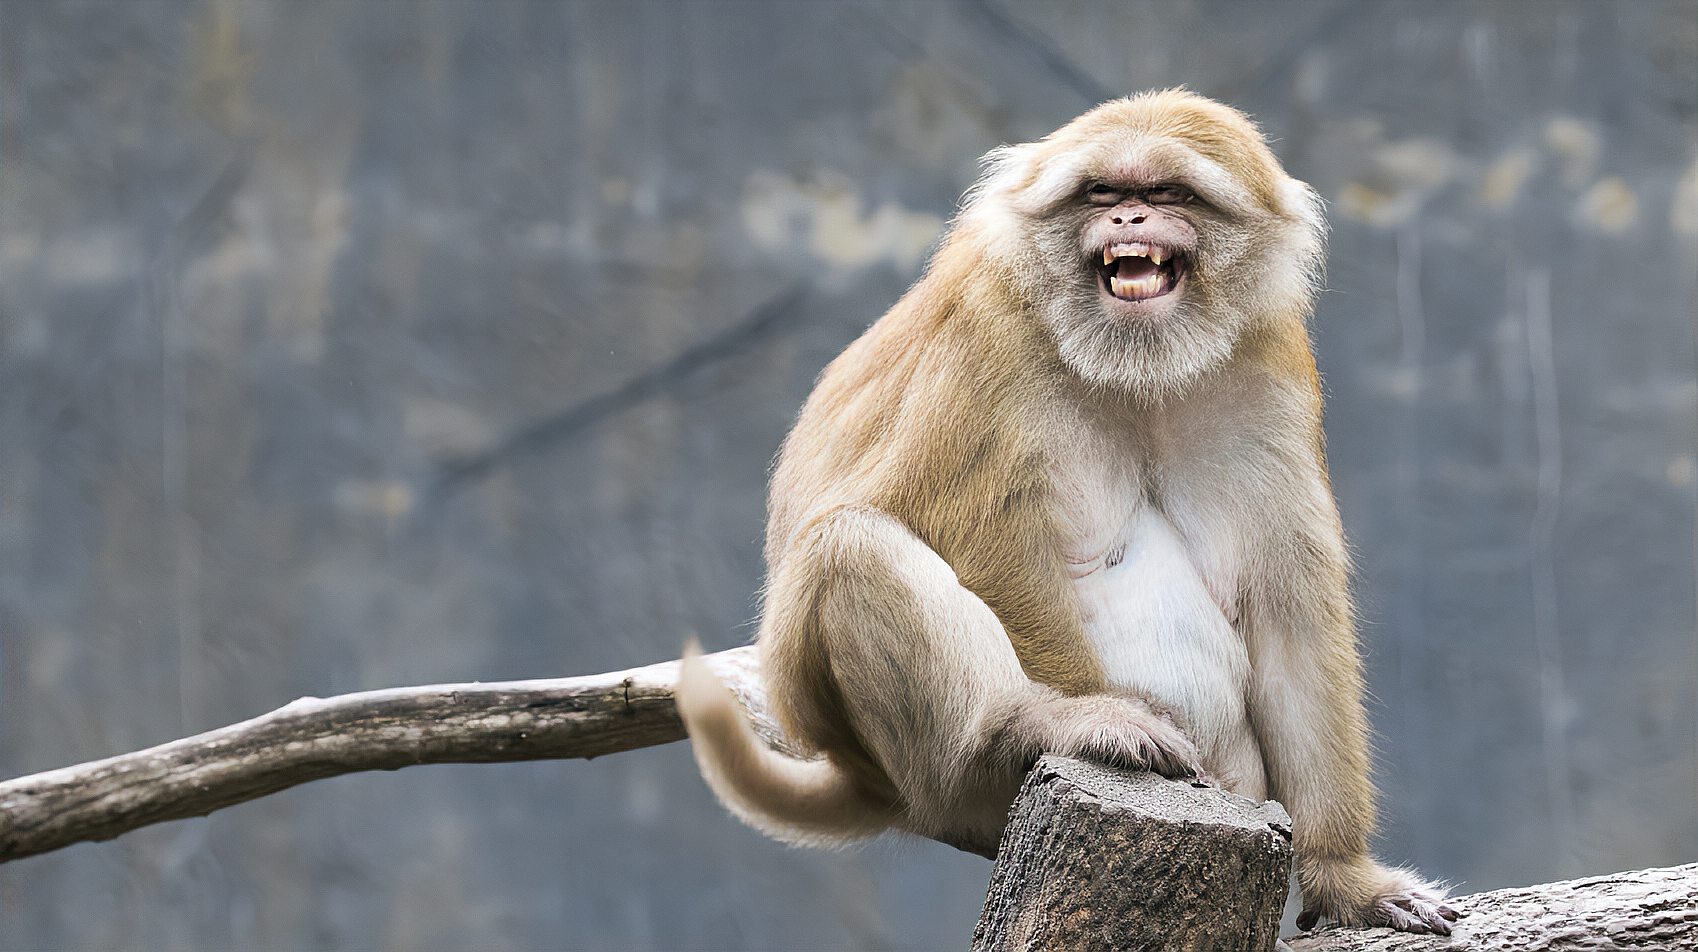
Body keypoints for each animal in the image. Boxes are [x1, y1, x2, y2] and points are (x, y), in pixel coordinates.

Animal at [675, 90, 1460, 936]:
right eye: (1103, 191)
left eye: (1169, 193)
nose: (1129, 219)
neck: (1137, 367)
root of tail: (878, 784)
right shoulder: (986, 328)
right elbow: (982, 535)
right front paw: (1083, 718)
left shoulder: (1269, 364)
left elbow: (1289, 610)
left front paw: (1344, 877)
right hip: (939, 780)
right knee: (845, 547)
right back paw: (1022, 725)